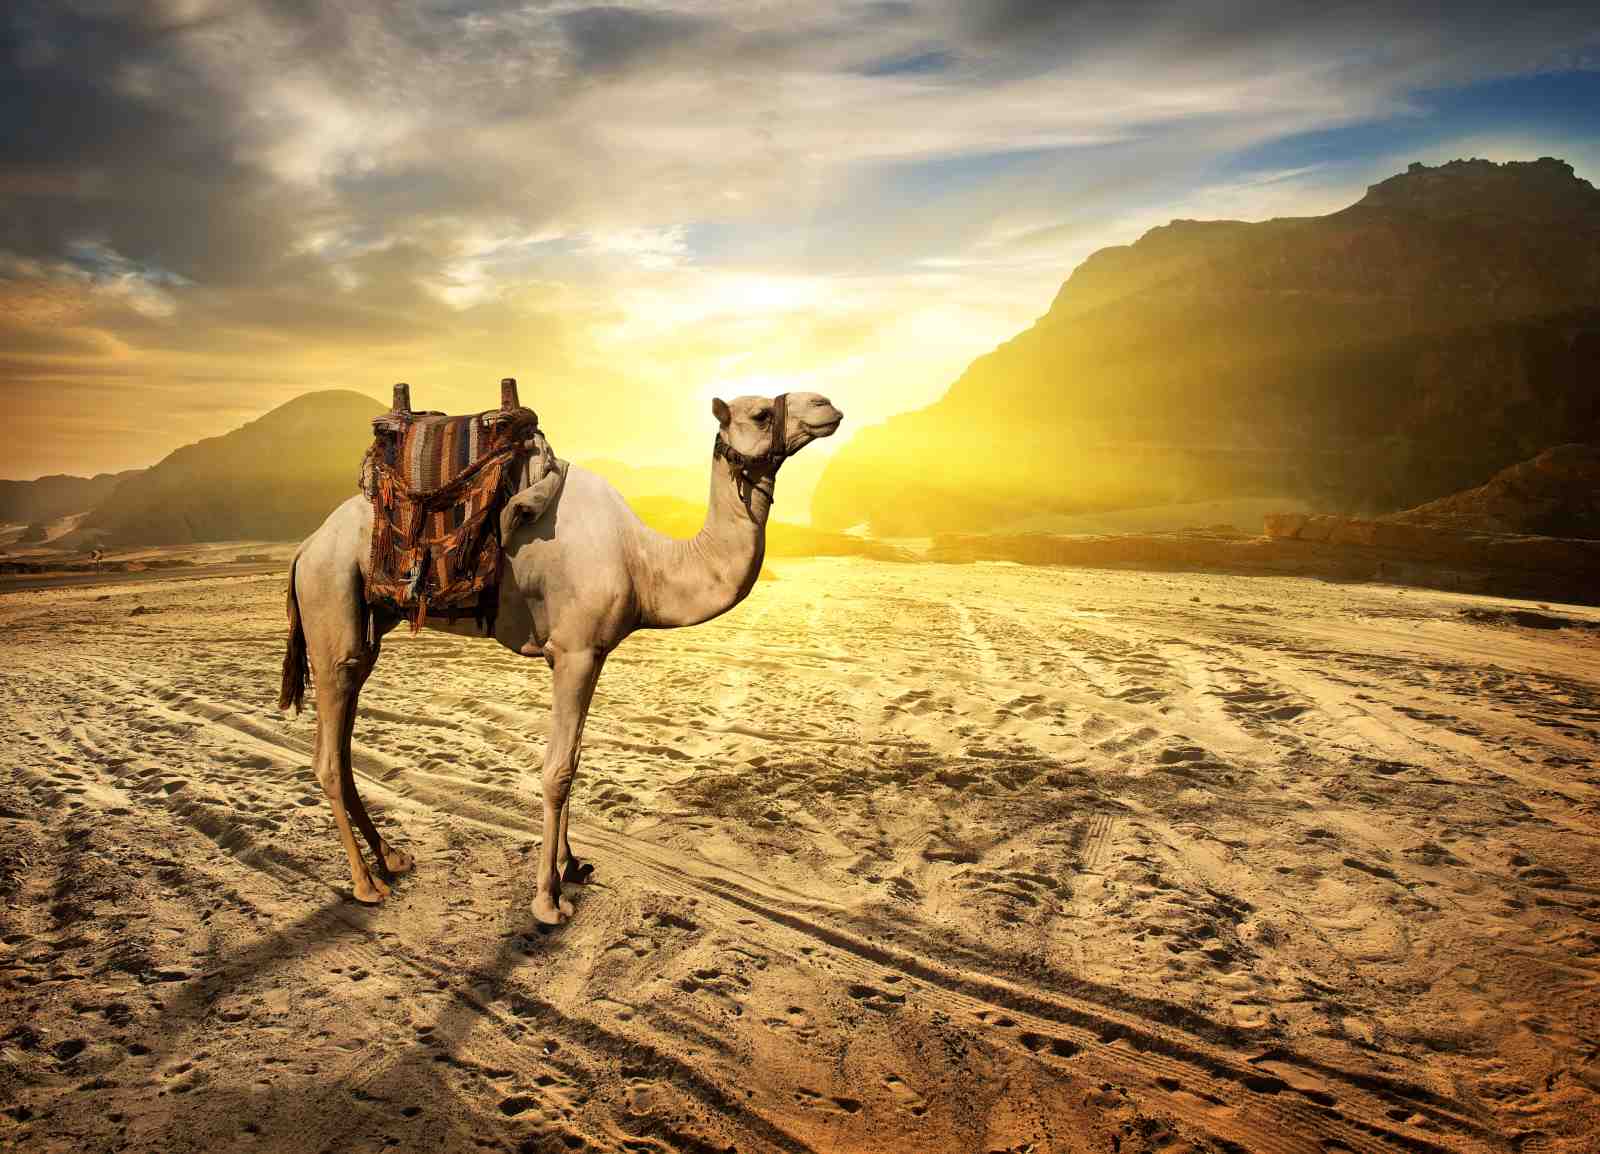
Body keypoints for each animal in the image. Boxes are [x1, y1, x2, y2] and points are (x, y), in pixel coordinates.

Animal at [279, 391, 843, 924]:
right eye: (760, 414)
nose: (827, 405)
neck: (643, 562)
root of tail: (305, 547)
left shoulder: (588, 654)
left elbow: (574, 758)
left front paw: (571, 866)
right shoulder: (575, 651)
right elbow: (557, 771)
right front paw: (547, 901)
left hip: (366, 628)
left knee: (344, 744)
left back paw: (392, 856)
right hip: (331, 599)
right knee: (328, 756)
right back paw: (366, 884)